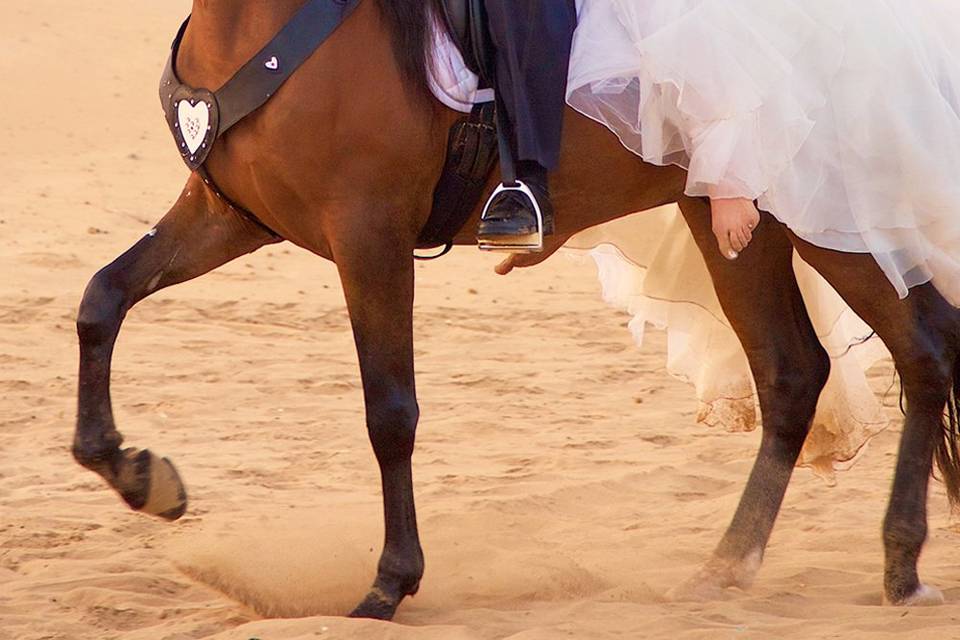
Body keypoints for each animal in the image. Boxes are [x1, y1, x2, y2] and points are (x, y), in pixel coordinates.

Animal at [75, 0, 960, 620]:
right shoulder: (228, 216)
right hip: (736, 218)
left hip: (834, 218)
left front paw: (390, 583)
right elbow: (102, 300)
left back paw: (901, 564)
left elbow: (390, 413)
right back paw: (726, 567)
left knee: (923, 350)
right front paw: (139, 475)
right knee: (792, 372)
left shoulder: (368, 235)